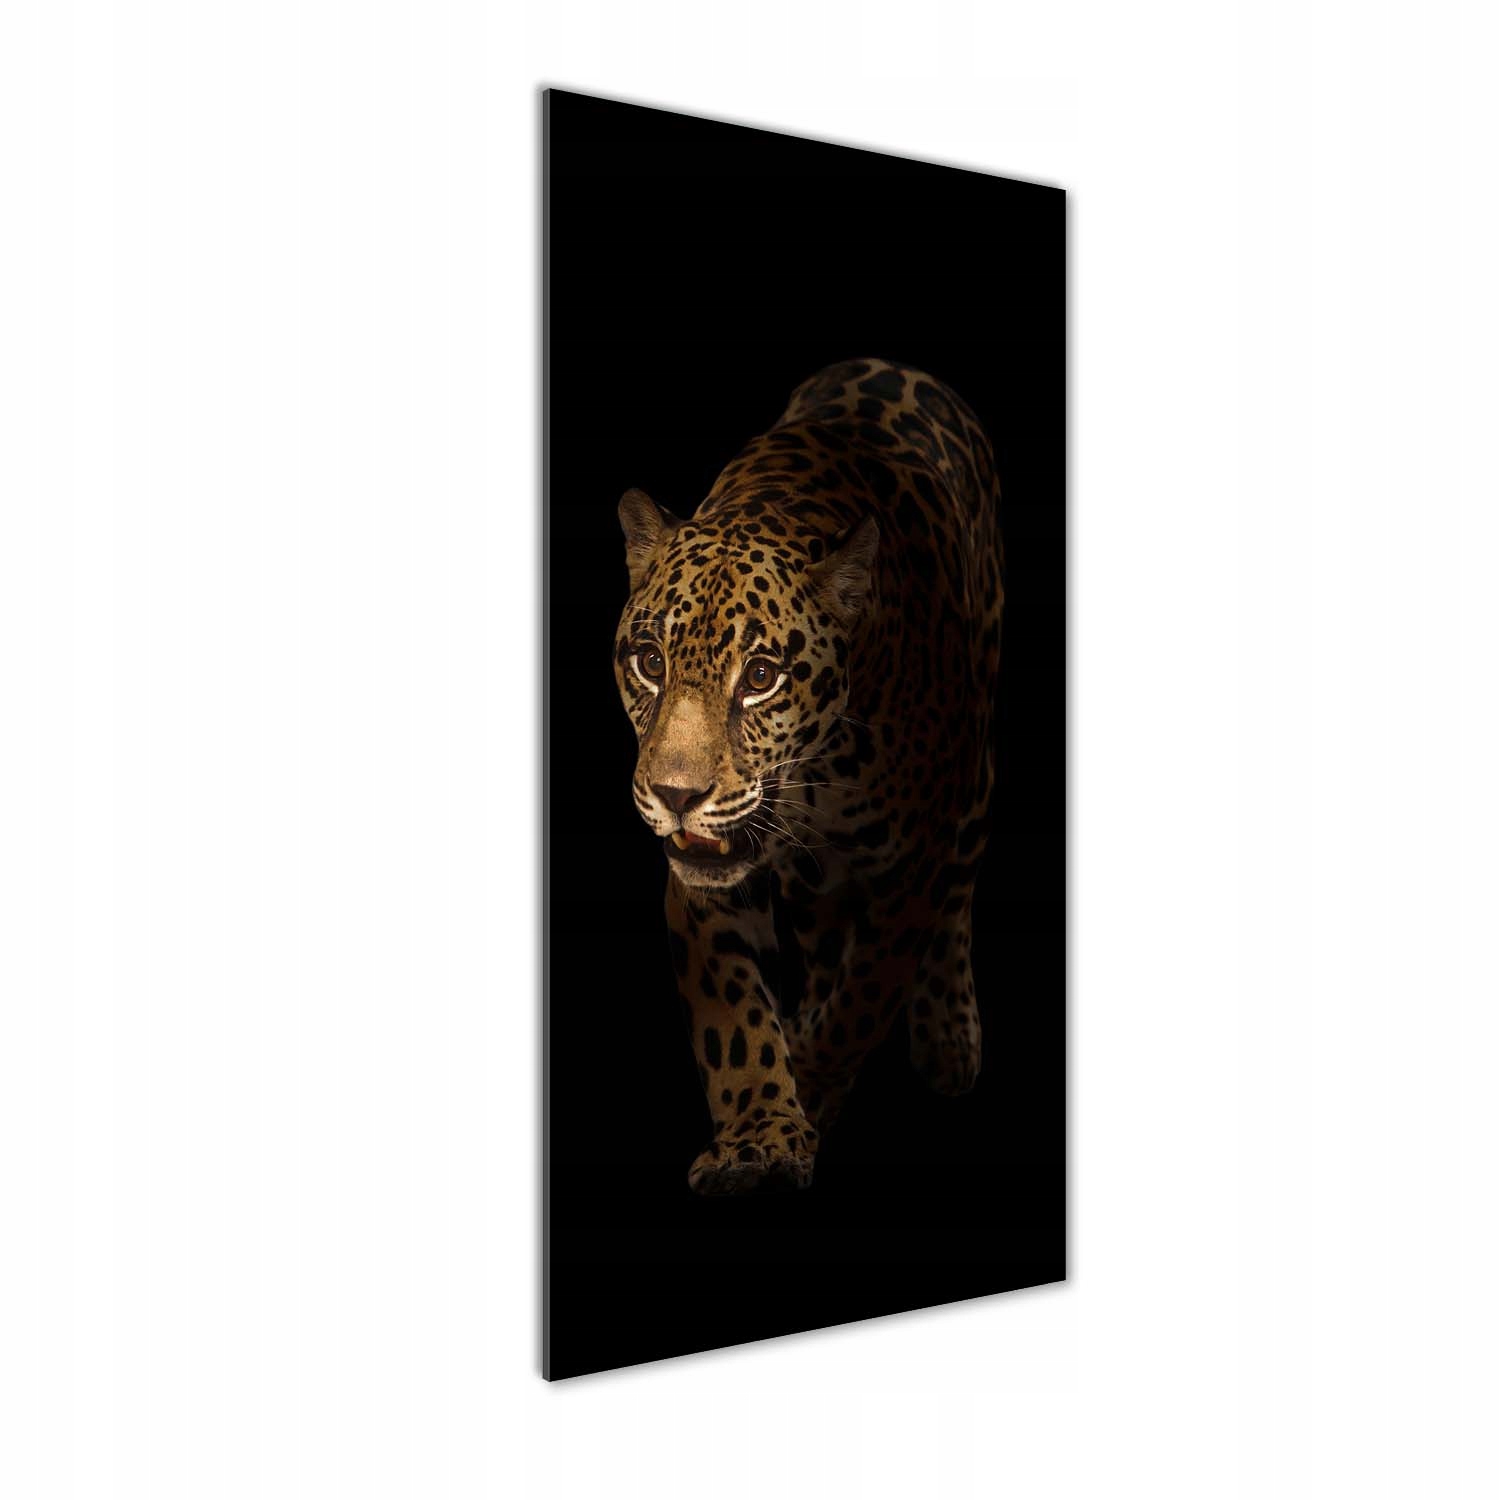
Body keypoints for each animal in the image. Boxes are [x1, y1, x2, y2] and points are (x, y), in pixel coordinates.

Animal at [612, 357, 1003, 1195]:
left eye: (760, 677)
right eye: (650, 661)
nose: (676, 796)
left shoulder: (910, 870)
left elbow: (866, 997)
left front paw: (813, 1081)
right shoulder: (707, 882)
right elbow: (732, 1019)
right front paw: (759, 1136)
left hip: (975, 769)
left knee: (956, 892)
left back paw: (948, 1032)